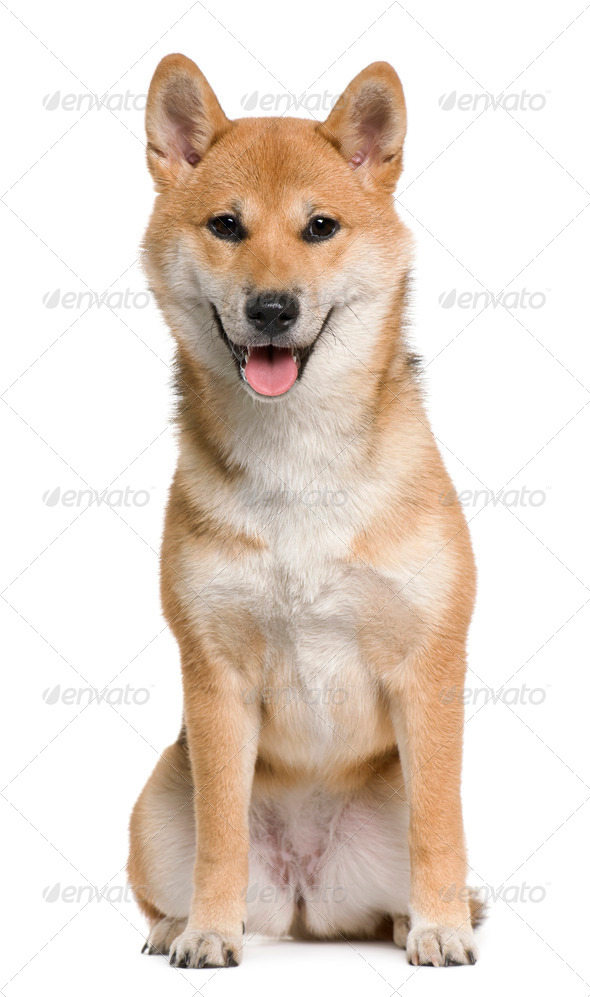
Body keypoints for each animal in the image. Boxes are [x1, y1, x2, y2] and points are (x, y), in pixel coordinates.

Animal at [127, 52, 484, 964]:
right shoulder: (215, 677)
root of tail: (306, 898)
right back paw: (178, 922)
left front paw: (440, 927)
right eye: (226, 225)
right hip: (157, 801)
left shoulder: (428, 669)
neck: (299, 463)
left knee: (418, 870)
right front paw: (209, 931)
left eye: (320, 227)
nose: (272, 308)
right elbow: (220, 834)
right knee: (175, 878)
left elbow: (438, 826)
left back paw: (418, 918)